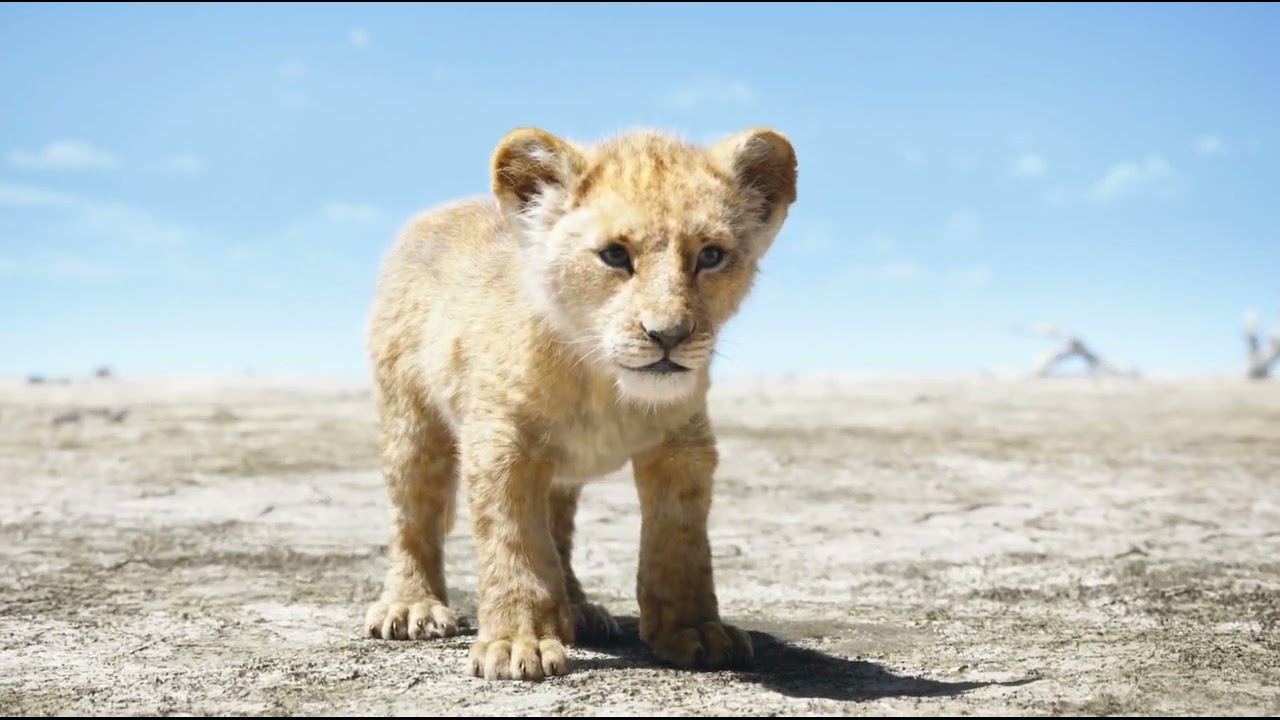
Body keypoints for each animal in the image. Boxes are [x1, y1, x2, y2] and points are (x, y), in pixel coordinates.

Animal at [363, 125, 798, 681]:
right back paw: (411, 607)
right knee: (412, 512)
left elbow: (680, 543)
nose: (669, 336)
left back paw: (580, 610)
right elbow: (516, 544)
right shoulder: (501, 442)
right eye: (614, 255)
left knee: (559, 525)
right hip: (410, 416)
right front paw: (517, 644)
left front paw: (696, 631)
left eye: (711, 256)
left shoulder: (685, 446)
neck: (604, 384)